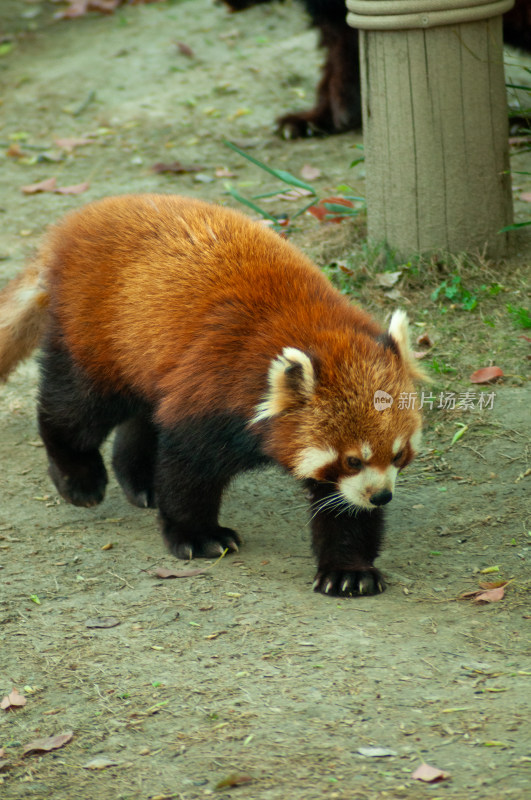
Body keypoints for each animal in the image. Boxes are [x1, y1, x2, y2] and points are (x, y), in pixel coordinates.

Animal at [0, 194, 424, 592]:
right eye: (352, 460)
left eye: (398, 455)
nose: (381, 496)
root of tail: (68, 227)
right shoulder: (212, 387)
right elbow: (189, 468)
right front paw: (198, 535)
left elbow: (342, 506)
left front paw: (348, 571)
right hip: (95, 328)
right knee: (78, 407)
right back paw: (79, 478)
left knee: (145, 410)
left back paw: (140, 481)